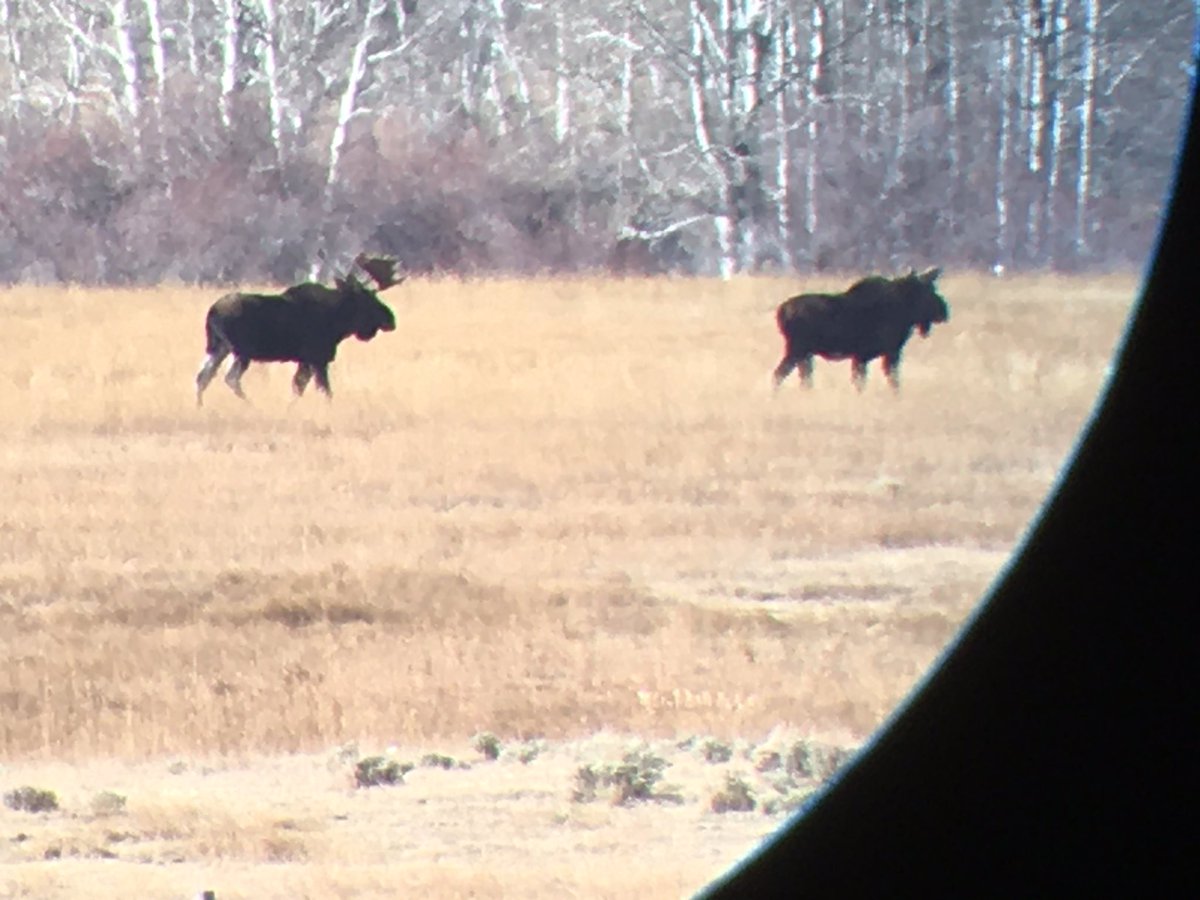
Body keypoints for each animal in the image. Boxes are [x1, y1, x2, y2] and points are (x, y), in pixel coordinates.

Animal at [196, 253, 403, 405]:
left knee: (202, 377)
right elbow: (325, 390)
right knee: (230, 377)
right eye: (368, 299)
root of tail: (212, 313)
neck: (338, 321)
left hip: (217, 347)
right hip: (241, 350)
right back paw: (249, 403)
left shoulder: (305, 360)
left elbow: (297, 388)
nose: (391, 319)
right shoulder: (318, 358)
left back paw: (201, 407)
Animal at [772, 267, 949, 392]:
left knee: (803, 380)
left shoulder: (862, 357)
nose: (944, 311)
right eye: (927, 290)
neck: (903, 311)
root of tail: (781, 312)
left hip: (805, 354)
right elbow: (891, 382)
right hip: (797, 350)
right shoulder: (885, 353)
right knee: (778, 375)